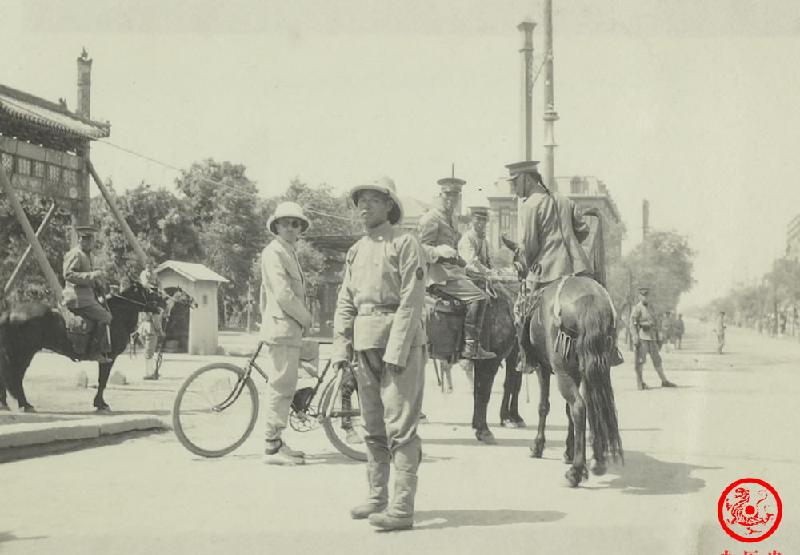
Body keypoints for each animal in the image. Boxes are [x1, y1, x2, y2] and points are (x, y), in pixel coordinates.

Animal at [0, 282, 164, 412]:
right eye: (149, 291)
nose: (164, 300)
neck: (117, 314)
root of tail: (9, 312)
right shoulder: (109, 358)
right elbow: (102, 381)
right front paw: (101, 404)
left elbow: (102, 381)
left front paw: (99, 403)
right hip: (23, 354)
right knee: (16, 378)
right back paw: (24, 404)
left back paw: (5, 404)